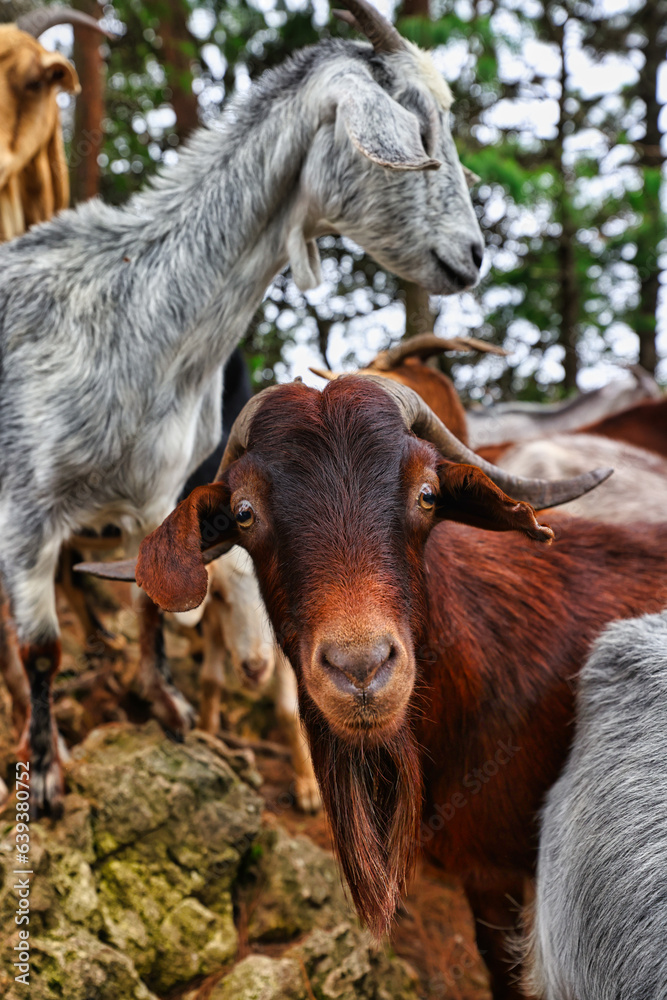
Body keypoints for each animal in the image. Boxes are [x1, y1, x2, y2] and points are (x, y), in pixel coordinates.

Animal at [0, 0, 482, 812]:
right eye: (418, 130)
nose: (473, 255)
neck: (136, 311)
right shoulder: (26, 509)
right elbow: (42, 647)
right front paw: (51, 771)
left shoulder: (162, 487)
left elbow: (152, 595)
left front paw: (166, 707)